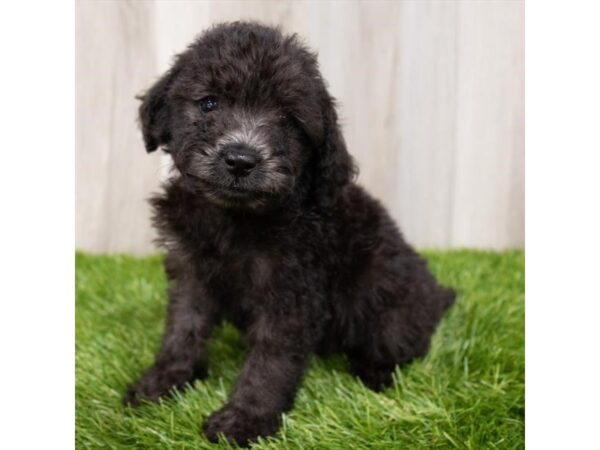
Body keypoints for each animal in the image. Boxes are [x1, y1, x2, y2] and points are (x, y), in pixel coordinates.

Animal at [126, 22, 454, 446]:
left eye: (287, 119)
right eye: (209, 104)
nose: (240, 160)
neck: (235, 218)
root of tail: (438, 295)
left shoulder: (291, 293)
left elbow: (271, 360)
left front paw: (246, 418)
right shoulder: (192, 272)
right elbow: (183, 328)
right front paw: (163, 381)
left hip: (390, 307)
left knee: (400, 344)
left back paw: (374, 373)